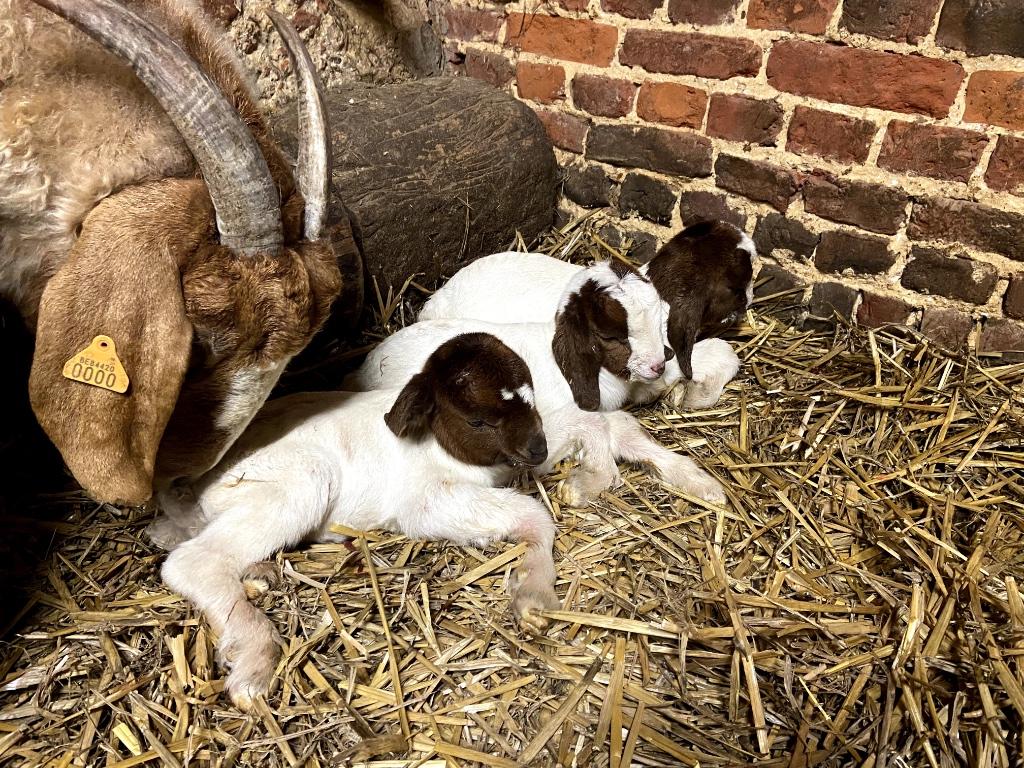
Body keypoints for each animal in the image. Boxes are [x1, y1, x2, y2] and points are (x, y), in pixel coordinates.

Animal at [151, 332, 560, 709]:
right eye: (478, 421)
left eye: (532, 395)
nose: (539, 449)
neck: (438, 444)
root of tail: (199, 482)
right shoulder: (425, 500)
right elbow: (533, 512)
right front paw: (535, 594)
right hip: (302, 479)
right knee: (193, 561)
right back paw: (255, 658)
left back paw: (257, 574)